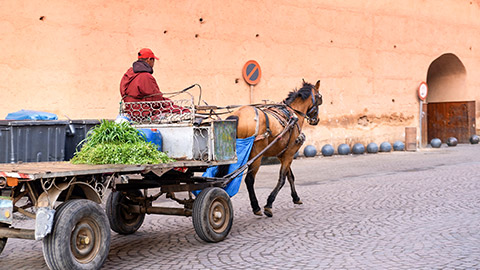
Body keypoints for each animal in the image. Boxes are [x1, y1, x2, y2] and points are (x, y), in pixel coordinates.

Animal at [225, 80, 322, 217]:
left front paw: (296, 198)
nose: (316, 120)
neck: (294, 114)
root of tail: (238, 115)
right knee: (249, 180)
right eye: (320, 98)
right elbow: (282, 179)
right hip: (256, 156)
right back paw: (256, 207)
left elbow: (290, 176)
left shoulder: (283, 155)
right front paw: (269, 204)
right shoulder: (289, 153)